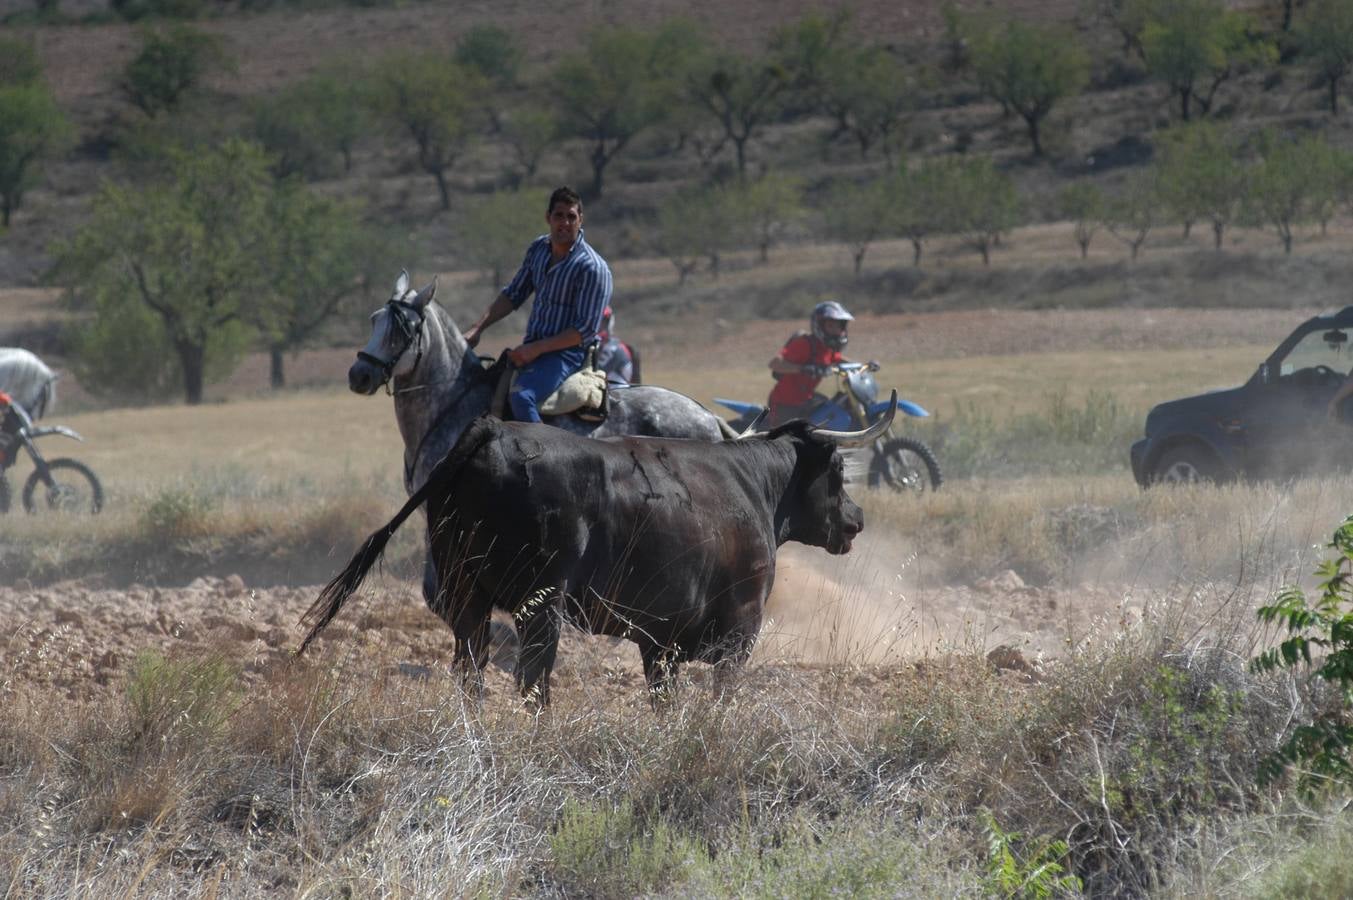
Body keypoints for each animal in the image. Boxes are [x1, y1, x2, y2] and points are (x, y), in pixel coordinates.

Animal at [300, 400, 892, 703]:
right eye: (837, 470)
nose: (857, 519)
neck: (753, 486)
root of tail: (492, 431)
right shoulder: (741, 627)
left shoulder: (660, 640)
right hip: (541, 604)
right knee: (533, 679)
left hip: (466, 594)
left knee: (470, 672)